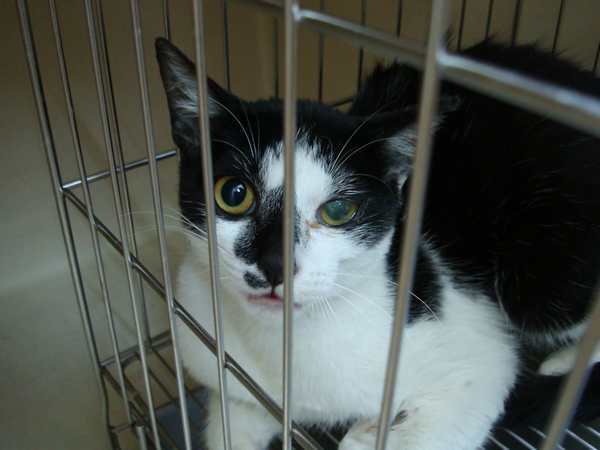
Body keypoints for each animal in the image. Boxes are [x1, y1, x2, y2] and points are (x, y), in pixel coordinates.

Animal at [155, 37, 600, 450]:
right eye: (234, 194)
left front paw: (370, 434)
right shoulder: (230, 375)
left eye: (338, 210)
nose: (275, 264)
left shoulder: (480, 358)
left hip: (543, 277)